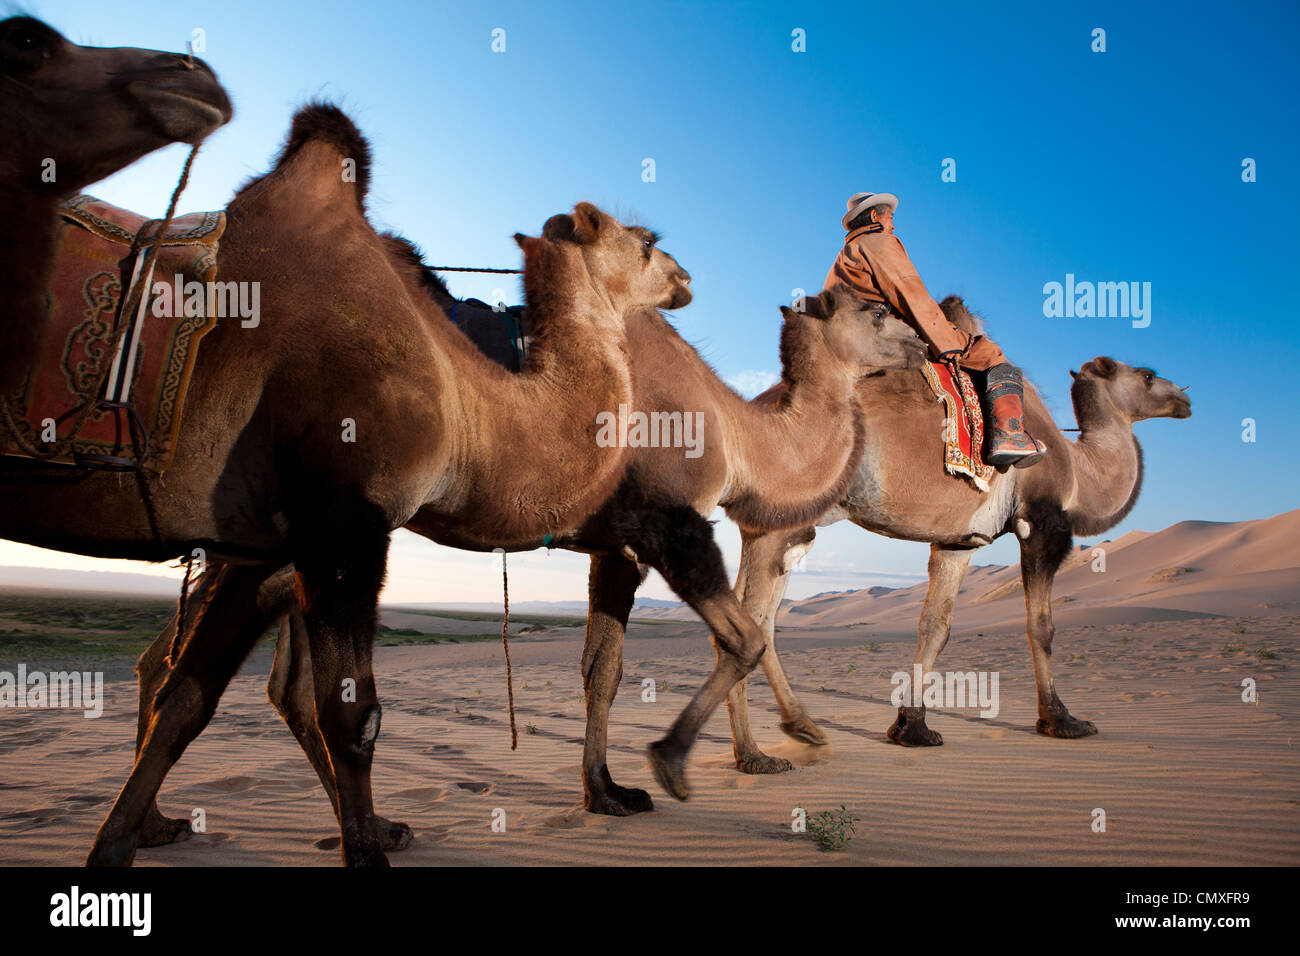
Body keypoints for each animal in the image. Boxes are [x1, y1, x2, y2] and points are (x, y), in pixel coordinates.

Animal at [0, 104, 691, 868]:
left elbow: (187, 700)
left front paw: (114, 845)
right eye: (648, 242)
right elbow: (351, 713)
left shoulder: (258, 547)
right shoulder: (345, 520)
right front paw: (365, 856)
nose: (687, 277)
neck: (461, 400)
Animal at [122, 282, 930, 853]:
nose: (926, 344)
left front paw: (606, 793)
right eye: (874, 308)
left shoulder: (613, 547)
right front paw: (670, 761)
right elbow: (743, 639)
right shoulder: (661, 523)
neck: (733, 428)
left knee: (232, 671)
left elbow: (602, 668)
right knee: (212, 668)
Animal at [717, 299, 1190, 770]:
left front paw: (913, 728)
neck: (1078, 470)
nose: (1185, 398)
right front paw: (1061, 720)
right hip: (783, 522)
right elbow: (1041, 625)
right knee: (752, 622)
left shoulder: (958, 541)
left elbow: (936, 626)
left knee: (755, 619)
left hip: (776, 528)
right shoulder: (1041, 525)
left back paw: (791, 734)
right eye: (1148, 375)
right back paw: (756, 754)